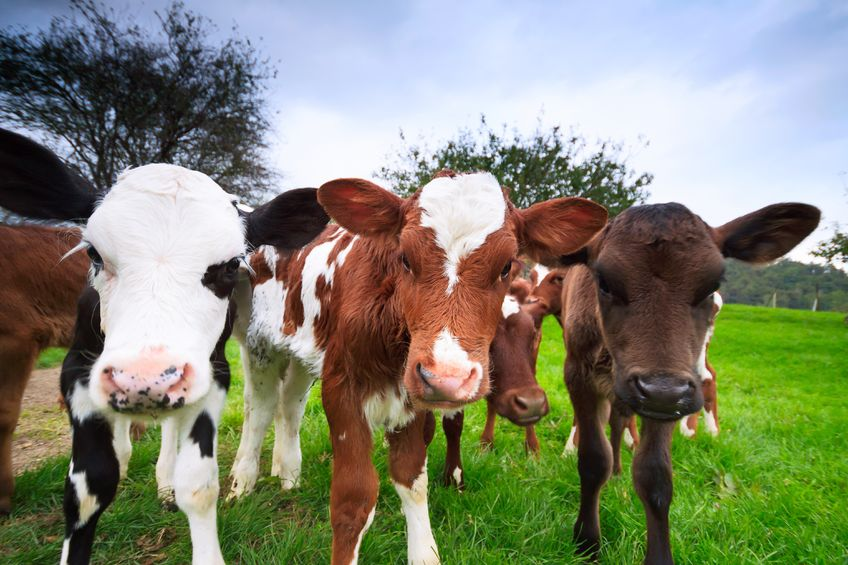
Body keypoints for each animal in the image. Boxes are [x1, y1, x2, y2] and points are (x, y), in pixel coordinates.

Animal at [557, 201, 819, 564]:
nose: (662, 390)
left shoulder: (672, 393)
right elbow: (594, 459)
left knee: (620, 423)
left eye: (712, 286)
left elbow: (654, 476)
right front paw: (587, 542)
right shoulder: (579, 375)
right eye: (604, 282)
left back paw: (621, 471)